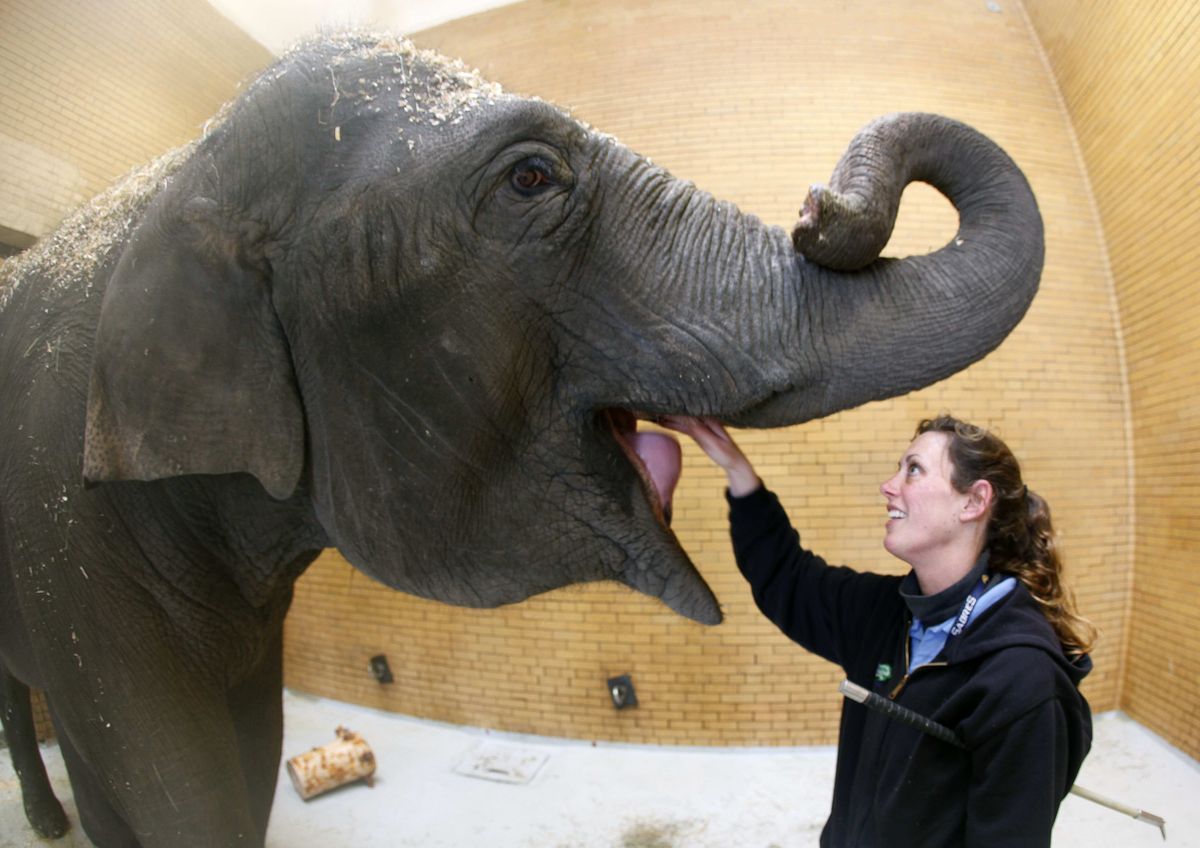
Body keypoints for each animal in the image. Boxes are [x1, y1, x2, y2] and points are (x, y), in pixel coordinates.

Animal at [0, 32, 1042, 847]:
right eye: (530, 178)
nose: (818, 207)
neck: (180, 169)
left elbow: (250, 757)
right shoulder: (69, 546)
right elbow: (180, 786)